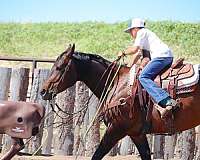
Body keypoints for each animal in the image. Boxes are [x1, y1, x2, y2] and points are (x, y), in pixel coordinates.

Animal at [40, 43, 200, 159]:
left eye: (60, 67)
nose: (43, 91)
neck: (116, 83)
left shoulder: (116, 128)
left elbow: (97, 154)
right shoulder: (136, 134)